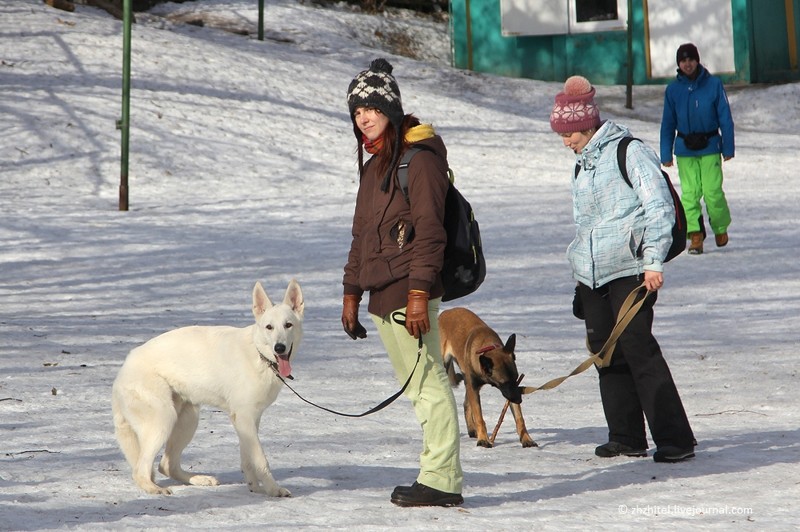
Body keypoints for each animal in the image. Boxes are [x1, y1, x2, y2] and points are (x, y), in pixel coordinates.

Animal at [109, 280, 304, 496]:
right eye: (269, 327)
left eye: (288, 325)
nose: (279, 348)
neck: (259, 355)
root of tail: (123, 370)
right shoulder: (245, 418)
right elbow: (261, 459)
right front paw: (273, 489)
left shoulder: (248, 420)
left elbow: (248, 460)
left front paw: (255, 488)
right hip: (163, 419)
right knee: (141, 470)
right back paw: (155, 489)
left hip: (188, 420)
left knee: (166, 465)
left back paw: (199, 480)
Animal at [438, 306, 536, 446]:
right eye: (504, 382)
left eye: (516, 379)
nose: (519, 400)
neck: (488, 348)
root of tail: (446, 312)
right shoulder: (477, 387)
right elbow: (479, 416)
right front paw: (483, 440)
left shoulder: (508, 391)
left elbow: (519, 418)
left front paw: (527, 439)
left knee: (466, 403)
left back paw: (471, 429)